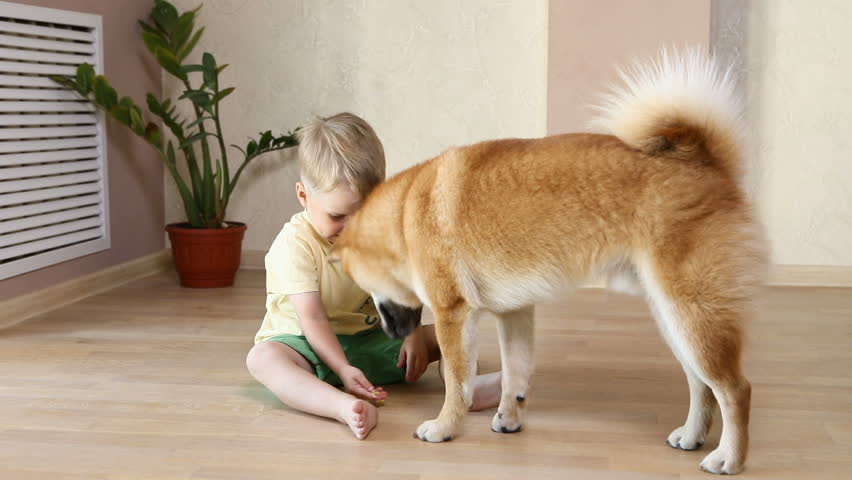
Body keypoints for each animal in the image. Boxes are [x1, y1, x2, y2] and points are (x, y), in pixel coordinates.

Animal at [332, 50, 764, 474]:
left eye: (368, 293)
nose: (389, 333)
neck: (403, 216)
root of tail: (704, 163)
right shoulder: (515, 313)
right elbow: (515, 375)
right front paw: (509, 419)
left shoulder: (452, 314)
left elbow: (458, 381)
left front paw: (445, 427)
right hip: (674, 317)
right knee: (701, 384)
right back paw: (691, 436)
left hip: (691, 313)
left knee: (735, 390)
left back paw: (729, 457)